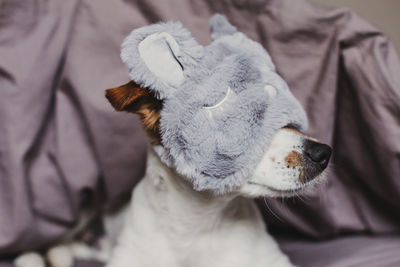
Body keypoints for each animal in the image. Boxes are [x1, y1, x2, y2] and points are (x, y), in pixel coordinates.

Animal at [13, 15, 332, 267]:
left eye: (289, 119)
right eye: (246, 120)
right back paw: (37, 256)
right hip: (84, 211)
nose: (324, 153)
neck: (197, 225)